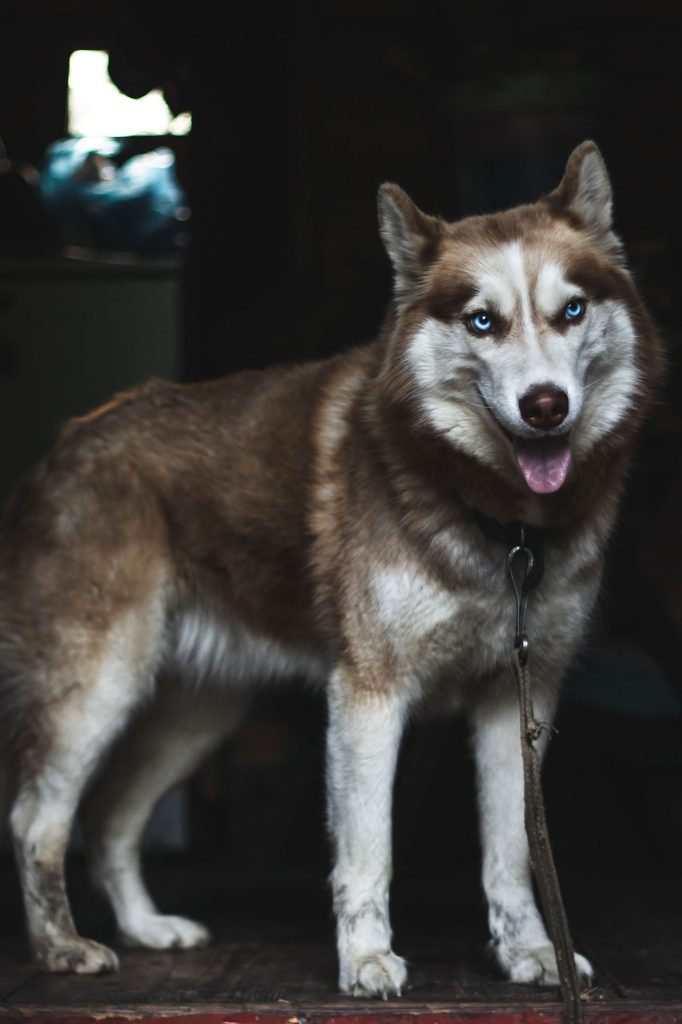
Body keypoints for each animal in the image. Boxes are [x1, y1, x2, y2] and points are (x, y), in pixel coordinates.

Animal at [0, 140, 659, 995]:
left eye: (572, 310)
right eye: (482, 321)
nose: (545, 405)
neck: (503, 526)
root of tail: (65, 443)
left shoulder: (518, 699)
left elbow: (514, 854)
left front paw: (530, 952)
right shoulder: (369, 697)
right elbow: (368, 852)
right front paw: (368, 958)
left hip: (198, 714)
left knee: (111, 816)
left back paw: (147, 928)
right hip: (98, 688)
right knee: (37, 821)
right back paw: (62, 947)